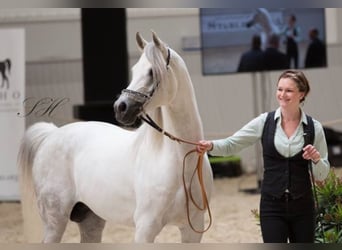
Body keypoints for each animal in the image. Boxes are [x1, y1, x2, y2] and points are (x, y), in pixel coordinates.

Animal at [18, 30, 214, 242]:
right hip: (55, 221)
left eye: (152, 72)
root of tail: (52, 134)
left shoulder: (192, 229)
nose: (121, 108)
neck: (178, 161)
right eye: (134, 70)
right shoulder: (145, 229)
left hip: (91, 220)